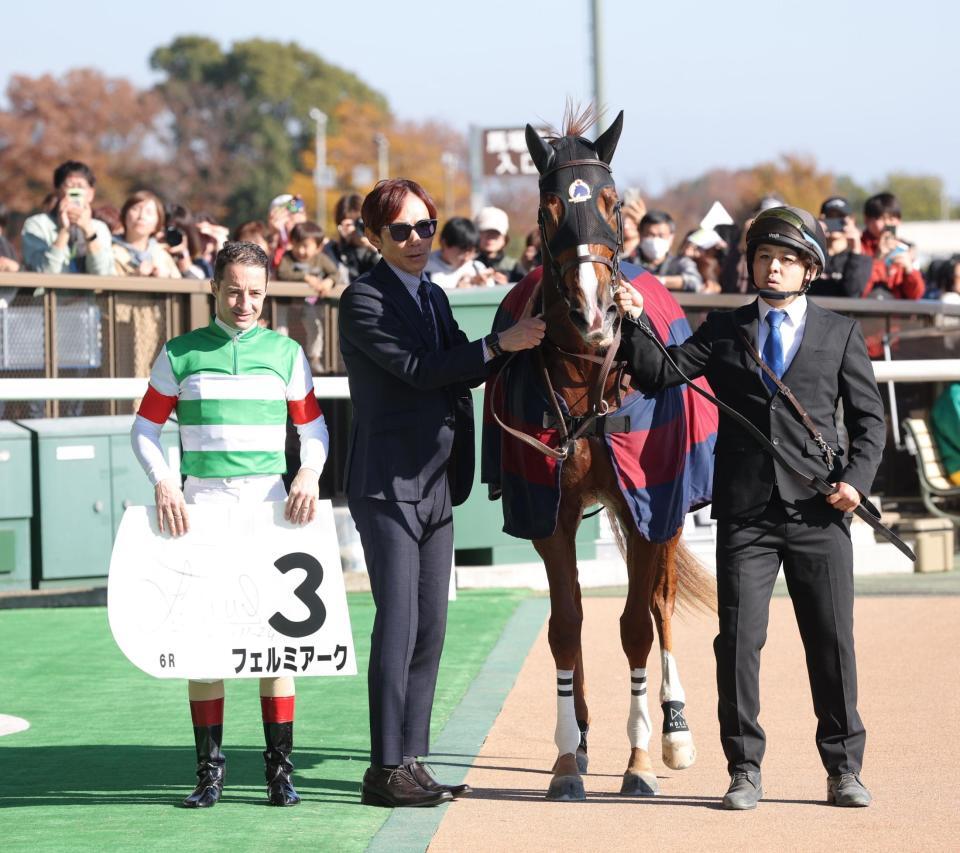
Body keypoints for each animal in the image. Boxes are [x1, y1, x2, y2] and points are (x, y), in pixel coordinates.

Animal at [484, 107, 717, 801]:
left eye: (613, 204)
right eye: (549, 207)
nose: (594, 310)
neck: (590, 370)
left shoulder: (649, 502)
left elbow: (637, 624)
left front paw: (640, 757)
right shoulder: (548, 511)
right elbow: (566, 625)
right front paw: (567, 754)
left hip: (667, 513)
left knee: (662, 603)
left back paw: (674, 728)